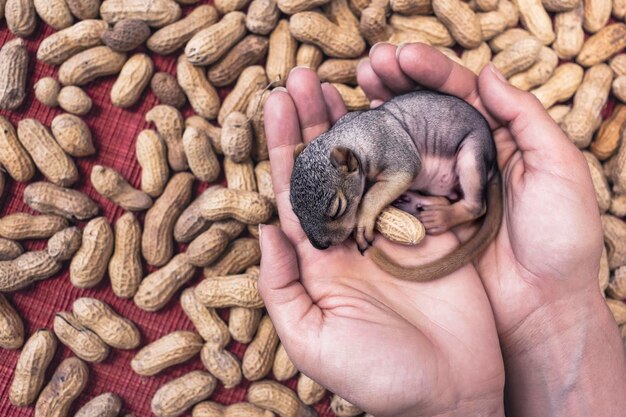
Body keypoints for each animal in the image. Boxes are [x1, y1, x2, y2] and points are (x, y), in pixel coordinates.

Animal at [288, 89, 502, 282]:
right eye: (294, 209)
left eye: (337, 209)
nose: (319, 246)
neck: (353, 135)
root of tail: (494, 165)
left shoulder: (393, 152)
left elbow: (374, 194)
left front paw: (363, 223)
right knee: (447, 197)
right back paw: (415, 203)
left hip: (472, 155)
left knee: (475, 206)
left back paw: (441, 217)